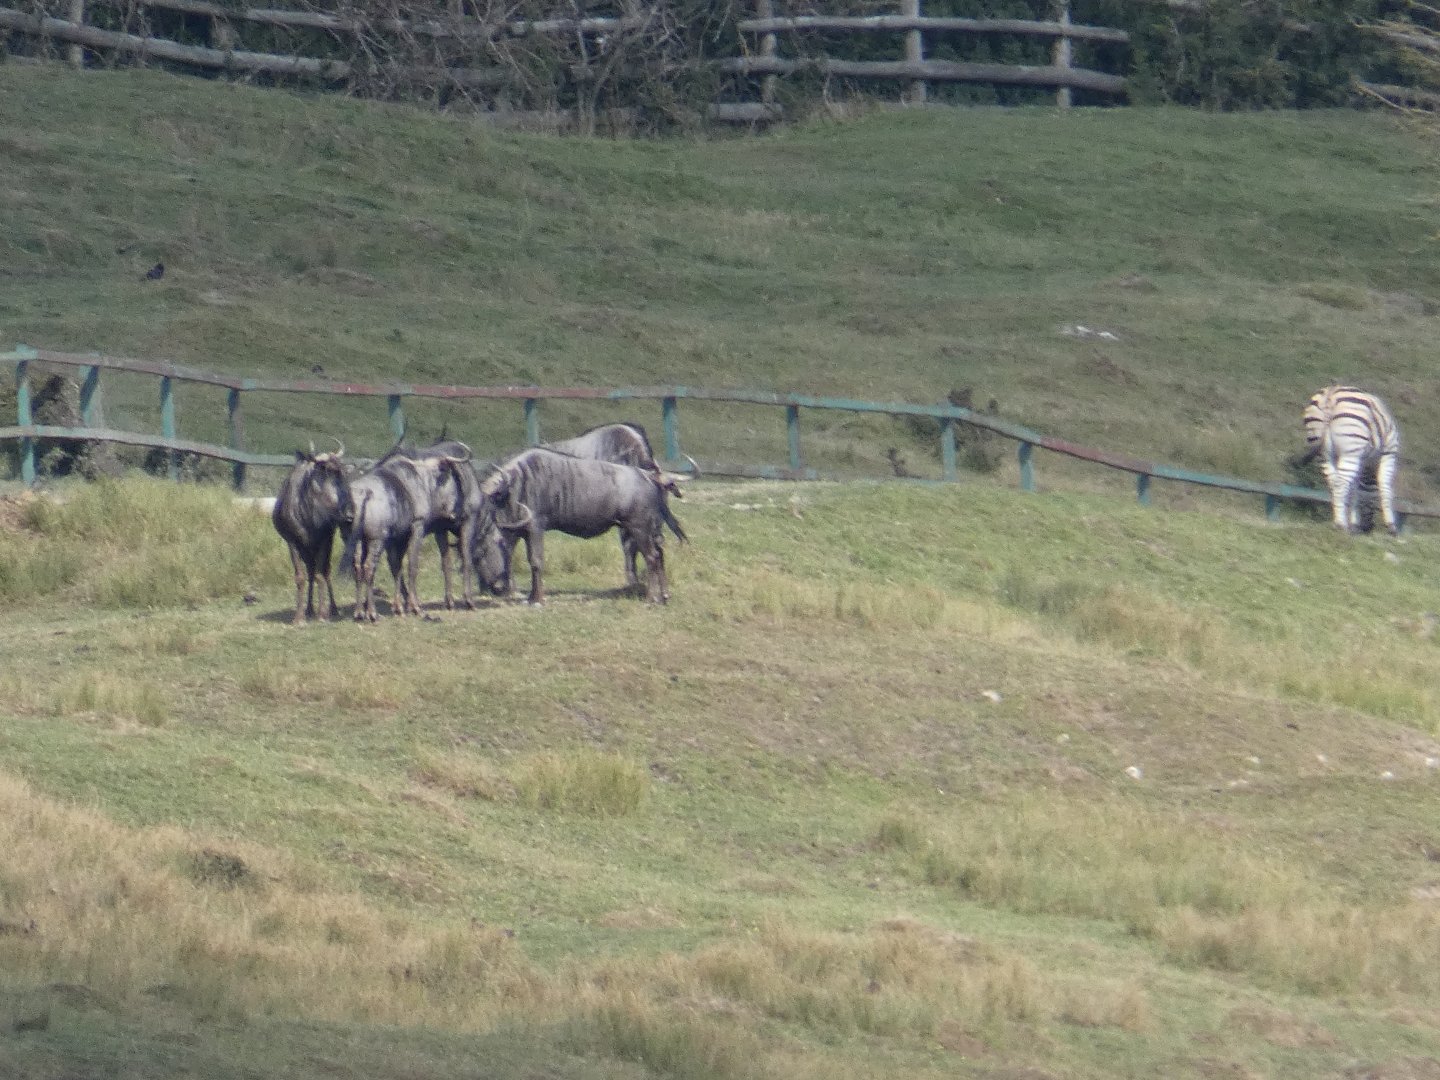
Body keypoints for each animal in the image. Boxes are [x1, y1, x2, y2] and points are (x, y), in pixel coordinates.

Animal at [1301, 385, 1401, 535]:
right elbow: (1385, 487)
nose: (1367, 528)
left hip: (1324, 452)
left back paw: (1339, 522)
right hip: (1351, 451)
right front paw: (1391, 526)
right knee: (1340, 483)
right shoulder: (1389, 453)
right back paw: (1340, 524)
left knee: (1333, 482)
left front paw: (1354, 524)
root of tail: (1330, 395)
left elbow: (1354, 490)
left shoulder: (1361, 461)